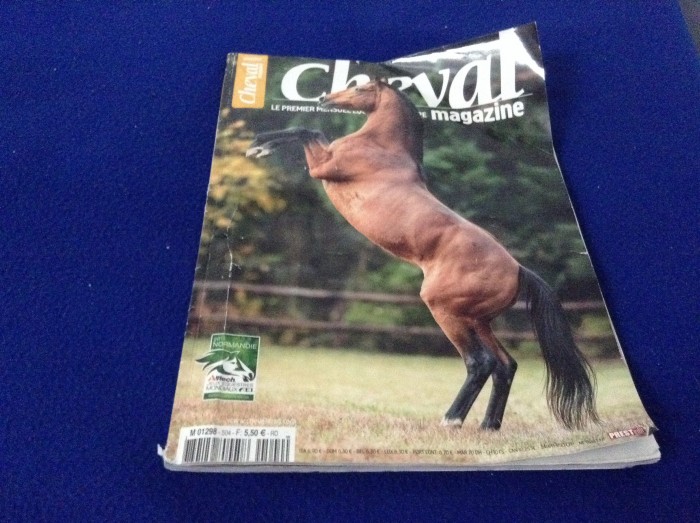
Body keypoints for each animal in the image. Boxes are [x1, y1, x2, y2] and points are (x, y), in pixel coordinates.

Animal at [246, 78, 598, 430]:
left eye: (359, 87)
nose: (324, 98)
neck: (383, 148)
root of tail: (518, 269)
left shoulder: (322, 166)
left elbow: (307, 130)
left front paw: (257, 146)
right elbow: (310, 130)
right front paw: (258, 146)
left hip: (446, 312)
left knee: (480, 362)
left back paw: (452, 420)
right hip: (478, 320)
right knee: (505, 365)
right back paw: (488, 425)